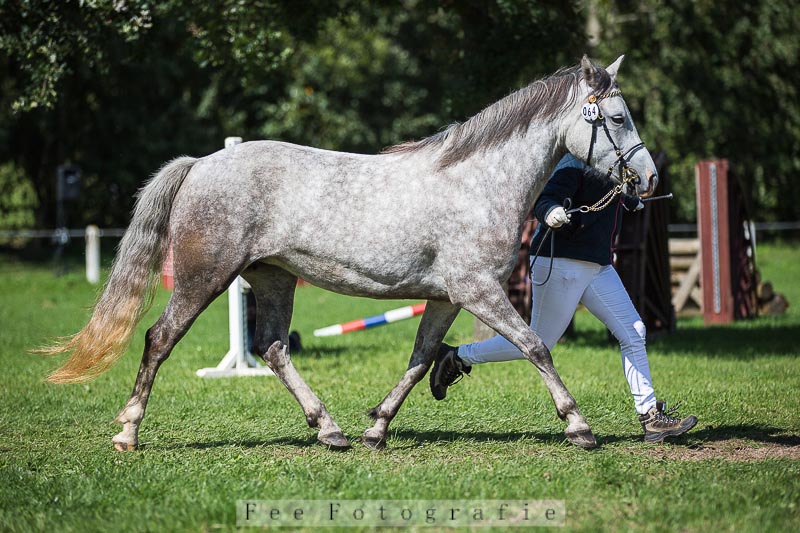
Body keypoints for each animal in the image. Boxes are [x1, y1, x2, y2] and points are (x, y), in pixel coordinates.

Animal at [41, 55, 657, 451]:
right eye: (618, 118)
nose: (648, 179)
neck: (477, 183)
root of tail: (200, 165)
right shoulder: (477, 291)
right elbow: (536, 347)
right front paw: (579, 428)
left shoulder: (446, 298)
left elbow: (420, 359)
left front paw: (376, 428)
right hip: (204, 278)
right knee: (160, 340)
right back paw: (127, 433)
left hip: (273, 279)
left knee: (272, 348)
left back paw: (330, 430)